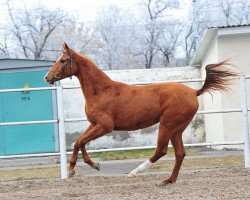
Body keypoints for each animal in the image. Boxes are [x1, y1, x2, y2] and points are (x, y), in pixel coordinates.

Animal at [45, 43, 238, 185]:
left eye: (63, 60)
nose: (47, 78)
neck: (102, 91)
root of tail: (193, 92)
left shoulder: (105, 126)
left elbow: (80, 141)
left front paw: (76, 169)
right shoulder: (94, 124)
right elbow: (79, 142)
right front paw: (87, 166)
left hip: (167, 125)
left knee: (161, 151)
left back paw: (135, 172)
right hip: (177, 129)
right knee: (180, 153)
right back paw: (168, 180)